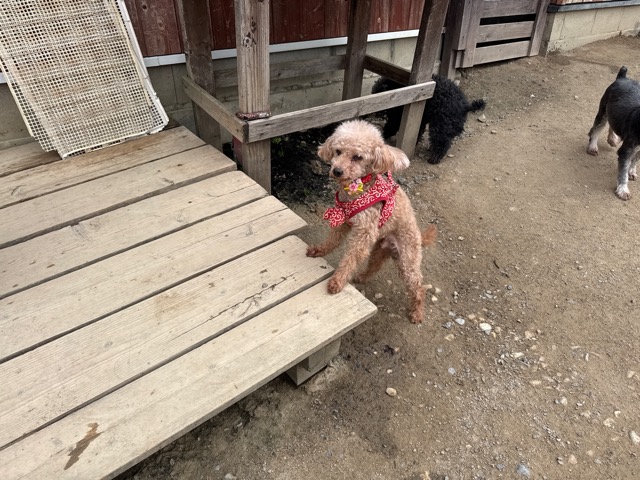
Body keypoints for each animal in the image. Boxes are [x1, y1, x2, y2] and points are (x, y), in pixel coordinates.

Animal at [306, 120, 437, 323]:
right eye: (337, 151)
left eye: (358, 157)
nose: (337, 171)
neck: (358, 188)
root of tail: (419, 237)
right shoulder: (343, 220)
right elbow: (332, 240)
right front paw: (318, 250)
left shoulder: (365, 231)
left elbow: (351, 257)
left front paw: (338, 280)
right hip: (379, 249)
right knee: (374, 266)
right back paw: (360, 277)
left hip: (408, 260)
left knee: (418, 286)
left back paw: (417, 313)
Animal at [587, 66, 640, 200]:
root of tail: (622, 77)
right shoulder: (627, 150)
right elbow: (623, 170)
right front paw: (623, 190)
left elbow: (635, 160)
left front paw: (632, 171)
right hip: (603, 111)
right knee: (596, 129)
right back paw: (592, 147)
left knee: (612, 123)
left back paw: (612, 138)